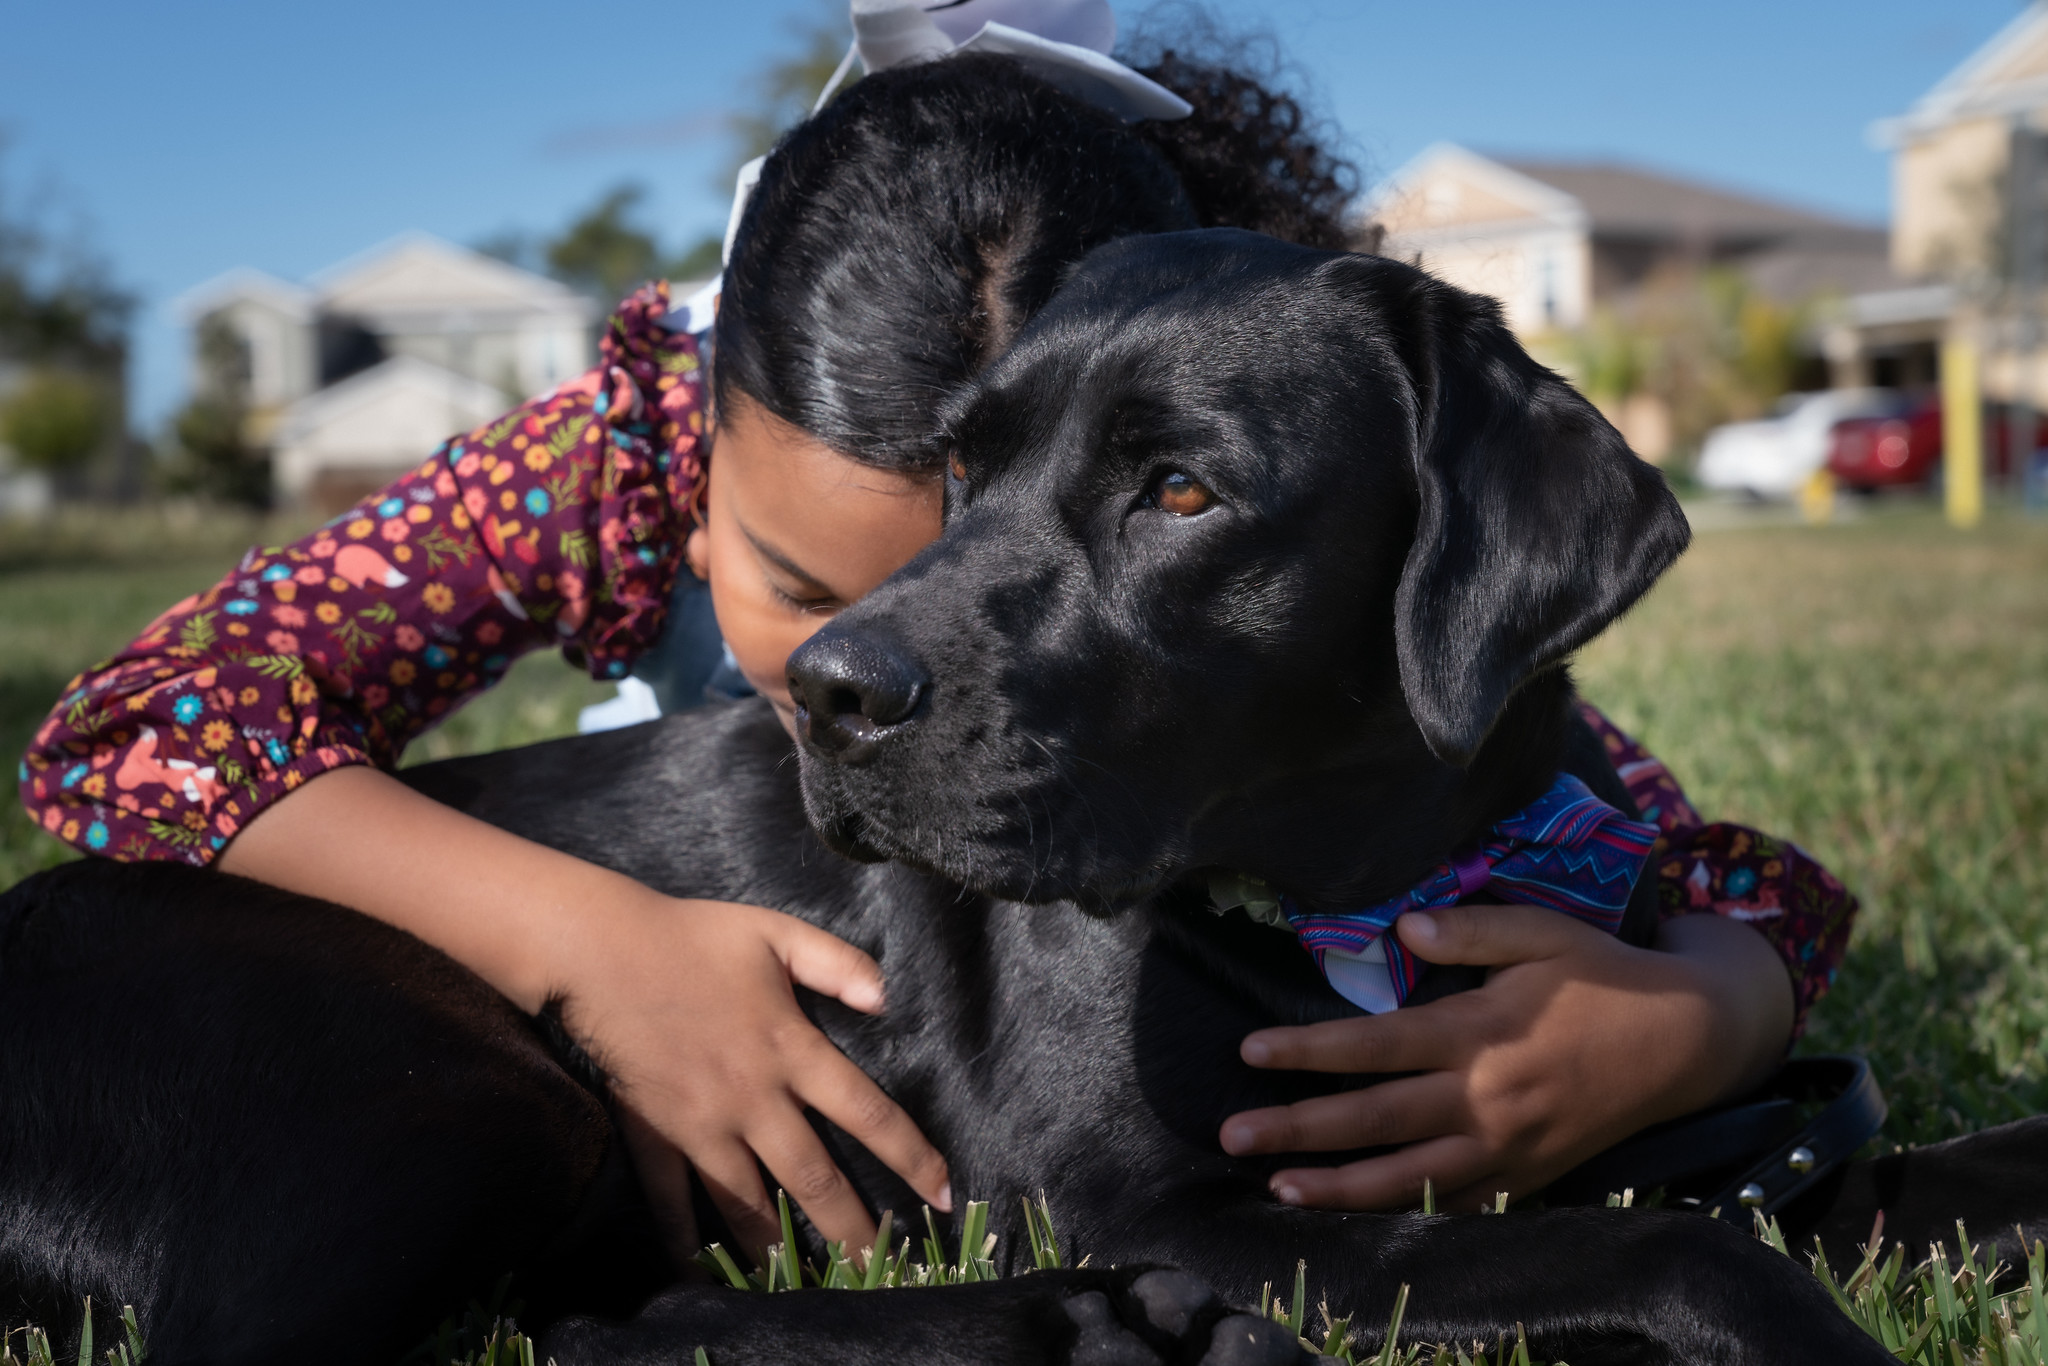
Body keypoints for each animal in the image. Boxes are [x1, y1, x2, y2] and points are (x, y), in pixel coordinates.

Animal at [0, 229, 2031, 1359]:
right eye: (961, 470)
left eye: (1179, 492)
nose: (827, 697)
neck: (1363, 900)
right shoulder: (1180, 1201)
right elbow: (1674, 1243)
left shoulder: (1694, 1130)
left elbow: (1886, 1165)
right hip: (445, 1090)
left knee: (591, 1315)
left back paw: (1071, 1329)